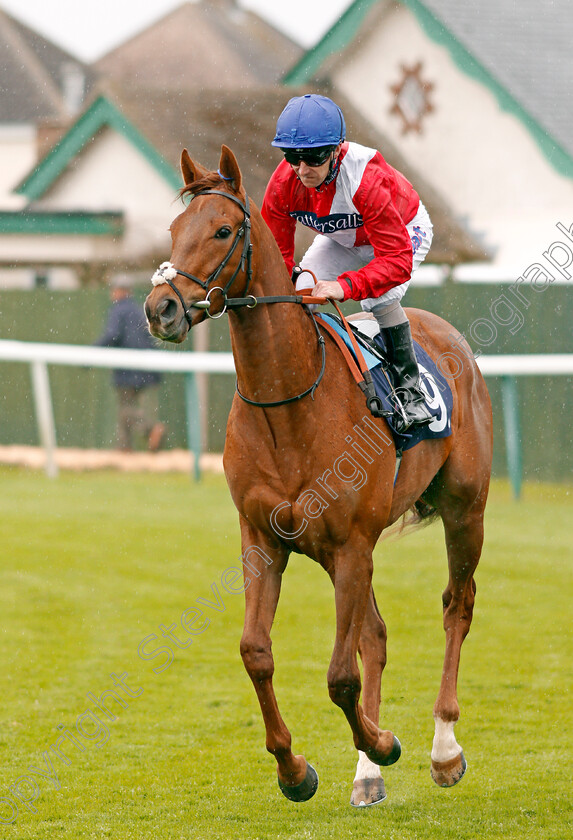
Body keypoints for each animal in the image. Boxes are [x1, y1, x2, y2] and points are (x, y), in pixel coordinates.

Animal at [144, 144, 492, 808]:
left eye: (222, 230)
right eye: (174, 229)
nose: (160, 309)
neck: (286, 405)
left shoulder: (351, 543)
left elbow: (338, 676)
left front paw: (385, 743)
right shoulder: (265, 540)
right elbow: (257, 652)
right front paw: (295, 768)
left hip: (465, 510)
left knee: (456, 608)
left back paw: (443, 748)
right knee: (376, 633)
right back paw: (367, 774)